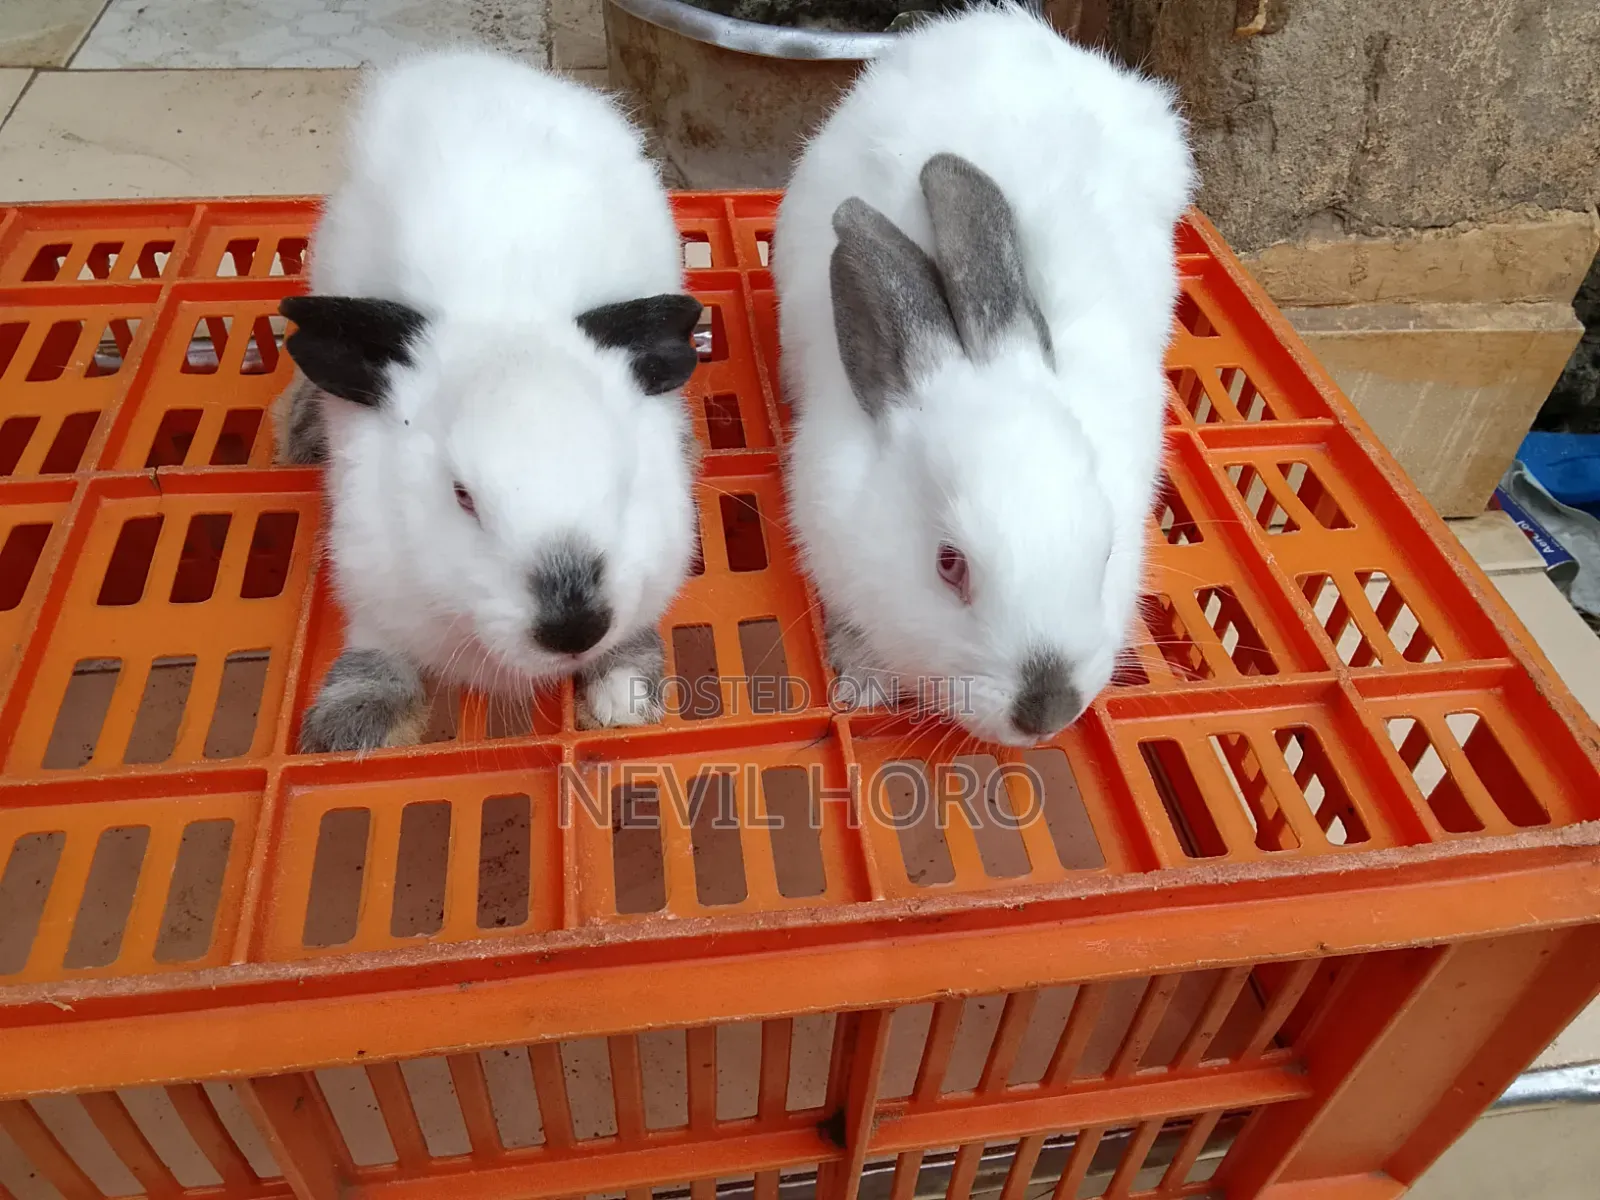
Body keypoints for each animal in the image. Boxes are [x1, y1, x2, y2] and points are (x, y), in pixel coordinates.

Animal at [276, 47, 703, 753]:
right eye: (461, 497)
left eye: (623, 483)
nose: (573, 628)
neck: (507, 315)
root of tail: (467, 64)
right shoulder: (370, 580)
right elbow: (375, 650)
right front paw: (350, 729)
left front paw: (624, 696)